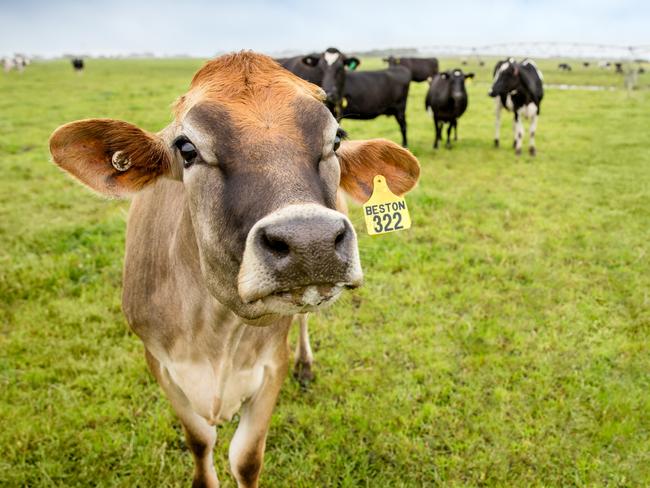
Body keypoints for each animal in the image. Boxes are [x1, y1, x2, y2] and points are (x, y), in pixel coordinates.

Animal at [48, 51, 418, 486]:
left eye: (337, 139)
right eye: (187, 148)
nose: (310, 240)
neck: (215, 330)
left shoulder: (270, 365)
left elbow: (246, 458)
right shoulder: (159, 363)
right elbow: (199, 441)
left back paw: (306, 365)